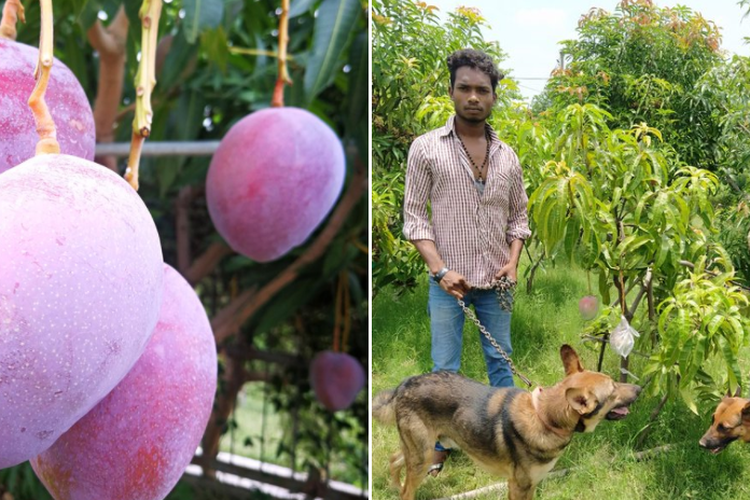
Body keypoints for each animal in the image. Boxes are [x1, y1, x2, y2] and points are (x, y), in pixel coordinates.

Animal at [374, 344, 644, 500]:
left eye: (614, 383)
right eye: (613, 390)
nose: (640, 389)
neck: (544, 417)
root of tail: (405, 384)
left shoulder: (531, 485)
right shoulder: (518, 485)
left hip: (421, 449)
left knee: (394, 460)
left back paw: (393, 485)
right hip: (423, 455)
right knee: (407, 490)